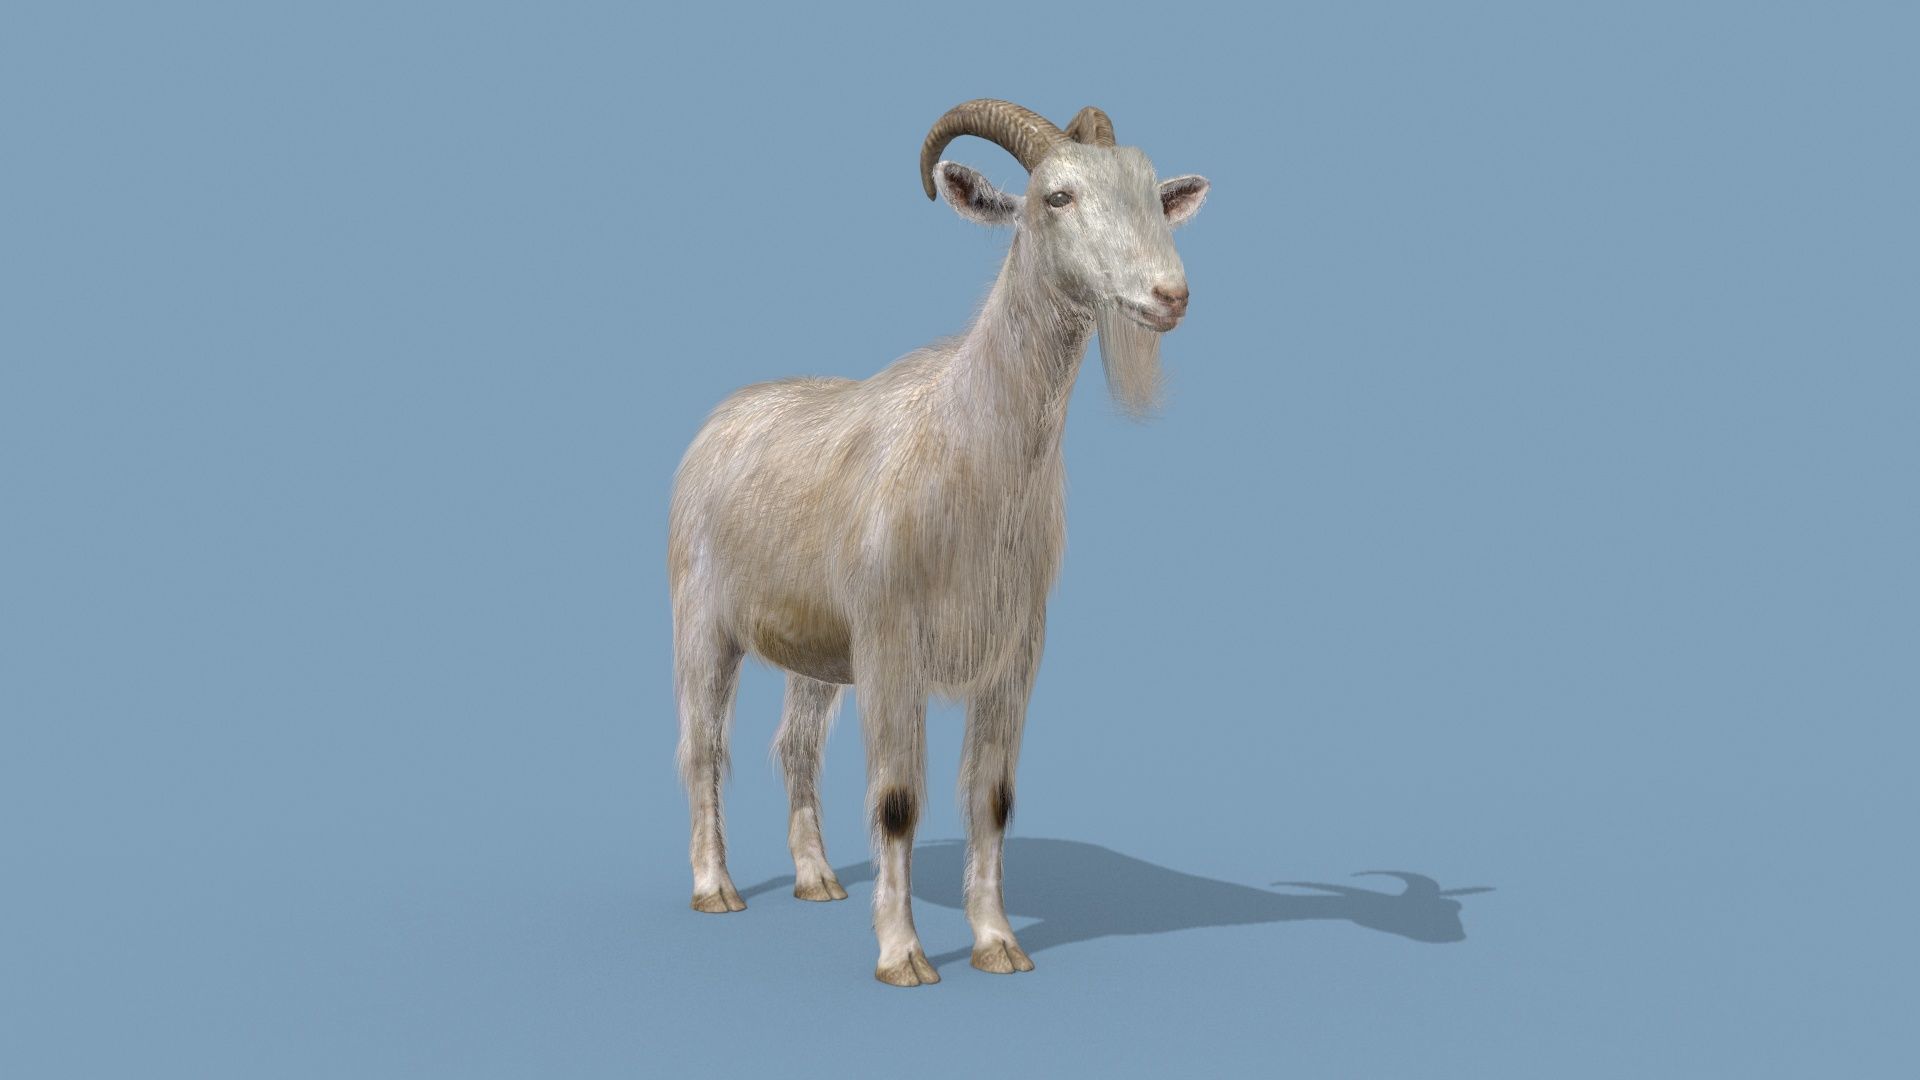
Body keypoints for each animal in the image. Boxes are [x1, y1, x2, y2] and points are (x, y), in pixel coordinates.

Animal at [668, 99, 1209, 986]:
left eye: (1150, 193)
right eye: (1057, 196)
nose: (1169, 294)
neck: (965, 455)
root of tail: (721, 419)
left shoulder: (1013, 653)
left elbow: (992, 796)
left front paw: (998, 945)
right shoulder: (893, 647)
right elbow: (896, 800)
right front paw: (904, 957)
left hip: (816, 650)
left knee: (794, 746)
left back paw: (817, 880)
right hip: (703, 621)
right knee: (703, 747)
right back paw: (716, 890)